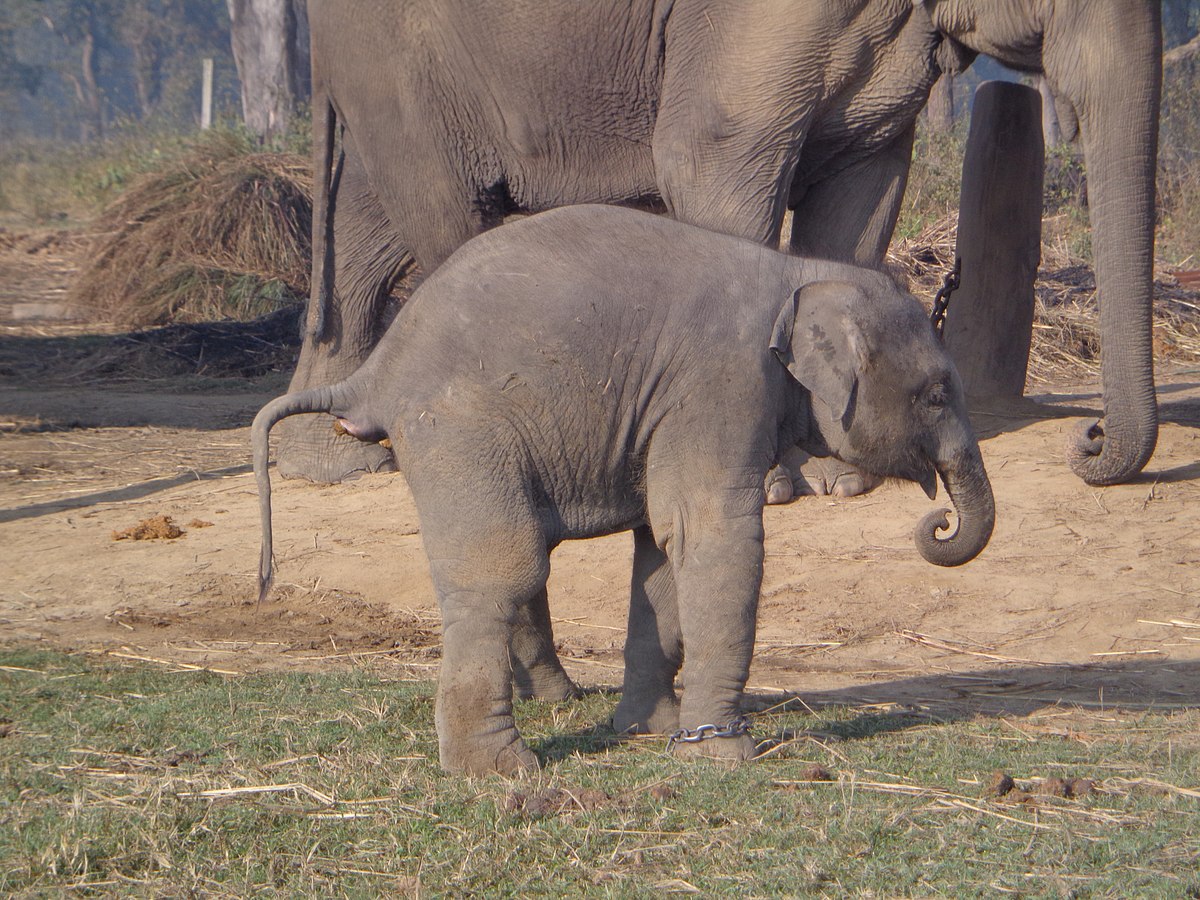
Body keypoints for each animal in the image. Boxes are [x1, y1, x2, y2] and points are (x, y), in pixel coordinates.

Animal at [253, 202, 993, 777]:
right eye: (936, 395)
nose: (937, 523)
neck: (801, 275)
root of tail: (372, 375)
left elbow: (662, 549)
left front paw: (650, 730)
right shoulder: (722, 384)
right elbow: (713, 535)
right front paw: (721, 755)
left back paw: (549, 708)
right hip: (457, 430)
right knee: (506, 566)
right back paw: (497, 769)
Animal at [283, 1, 1161, 494]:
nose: (1087, 441)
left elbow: (862, 187)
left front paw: (841, 473)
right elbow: (710, 164)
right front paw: (766, 478)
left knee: (368, 223)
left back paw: (332, 456)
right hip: (403, 60)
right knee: (449, 216)